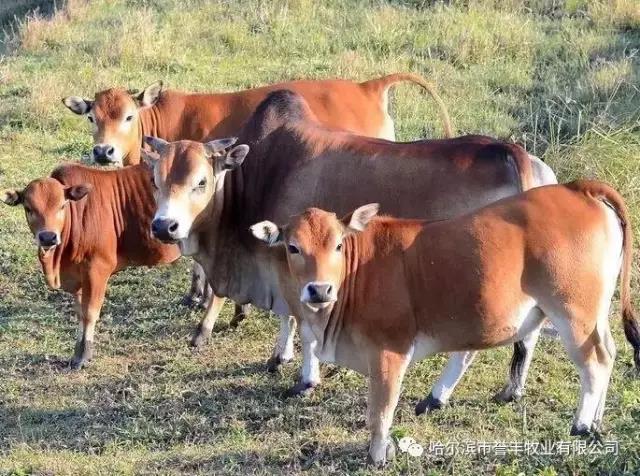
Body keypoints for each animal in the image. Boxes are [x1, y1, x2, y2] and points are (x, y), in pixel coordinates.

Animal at [0, 138, 240, 368]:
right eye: (28, 208)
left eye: (62, 206)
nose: (48, 237)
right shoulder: (78, 275)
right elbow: (79, 313)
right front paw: (78, 351)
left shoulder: (97, 269)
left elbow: (90, 313)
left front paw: (83, 355)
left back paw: (204, 331)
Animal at [142, 88, 556, 394]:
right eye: (155, 181)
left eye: (200, 182)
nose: (165, 226)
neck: (257, 174)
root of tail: (512, 154)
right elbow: (287, 318)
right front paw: (281, 358)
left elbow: (300, 323)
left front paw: (304, 377)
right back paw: (512, 389)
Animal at [252, 180, 640, 466]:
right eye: (292, 247)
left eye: (337, 245)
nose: (319, 289)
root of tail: (577, 187)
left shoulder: (389, 350)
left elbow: (380, 410)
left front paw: (378, 455)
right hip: (593, 313)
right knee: (610, 351)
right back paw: (597, 421)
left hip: (574, 311)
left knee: (595, 361)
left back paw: (582, 424)